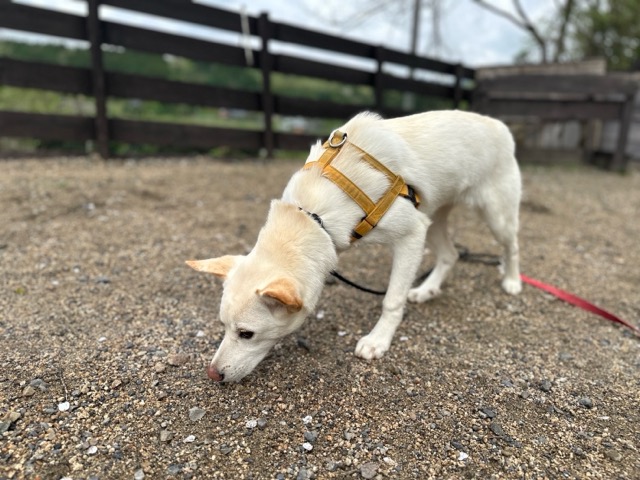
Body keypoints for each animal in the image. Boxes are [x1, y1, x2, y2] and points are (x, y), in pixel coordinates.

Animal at [187, 110, 522, 382]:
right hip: (433, 217)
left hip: (494, 215)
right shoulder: (417, 227)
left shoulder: (411, 235)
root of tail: (499, 125)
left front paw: (378, 340)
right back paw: (427, 289)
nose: (213, 374)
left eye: (246, 334)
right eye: (223, 326)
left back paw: (512, 281)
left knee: (512, 245)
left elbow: (391, 300)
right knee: (450, 255)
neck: (311, 214)